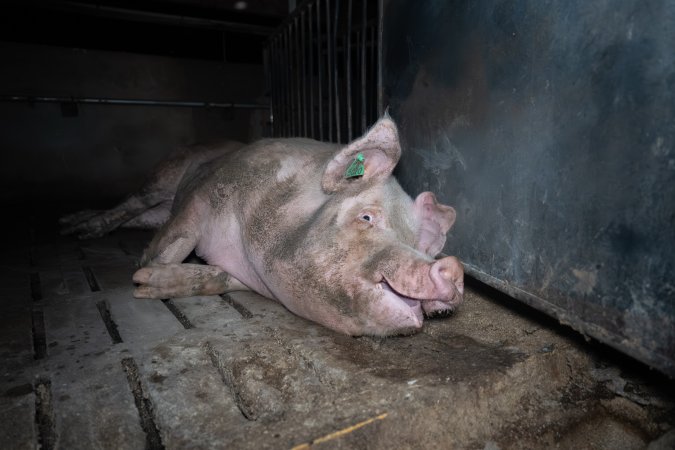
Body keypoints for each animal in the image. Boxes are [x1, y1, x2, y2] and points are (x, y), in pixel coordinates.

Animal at [59, 141, 244, 239]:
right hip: (164, 178)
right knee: (131, 202)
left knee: (136, 216)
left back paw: (76, 225)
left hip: (163, 212)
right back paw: (74, 229)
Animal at [133, 117, 464, 336]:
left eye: (415, 242)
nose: (454, 267)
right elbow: (177, 242)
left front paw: (146, 282)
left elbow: (218, 277)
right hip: (161, 181)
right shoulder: (202, 197)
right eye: (367, 217)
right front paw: (140, 279)